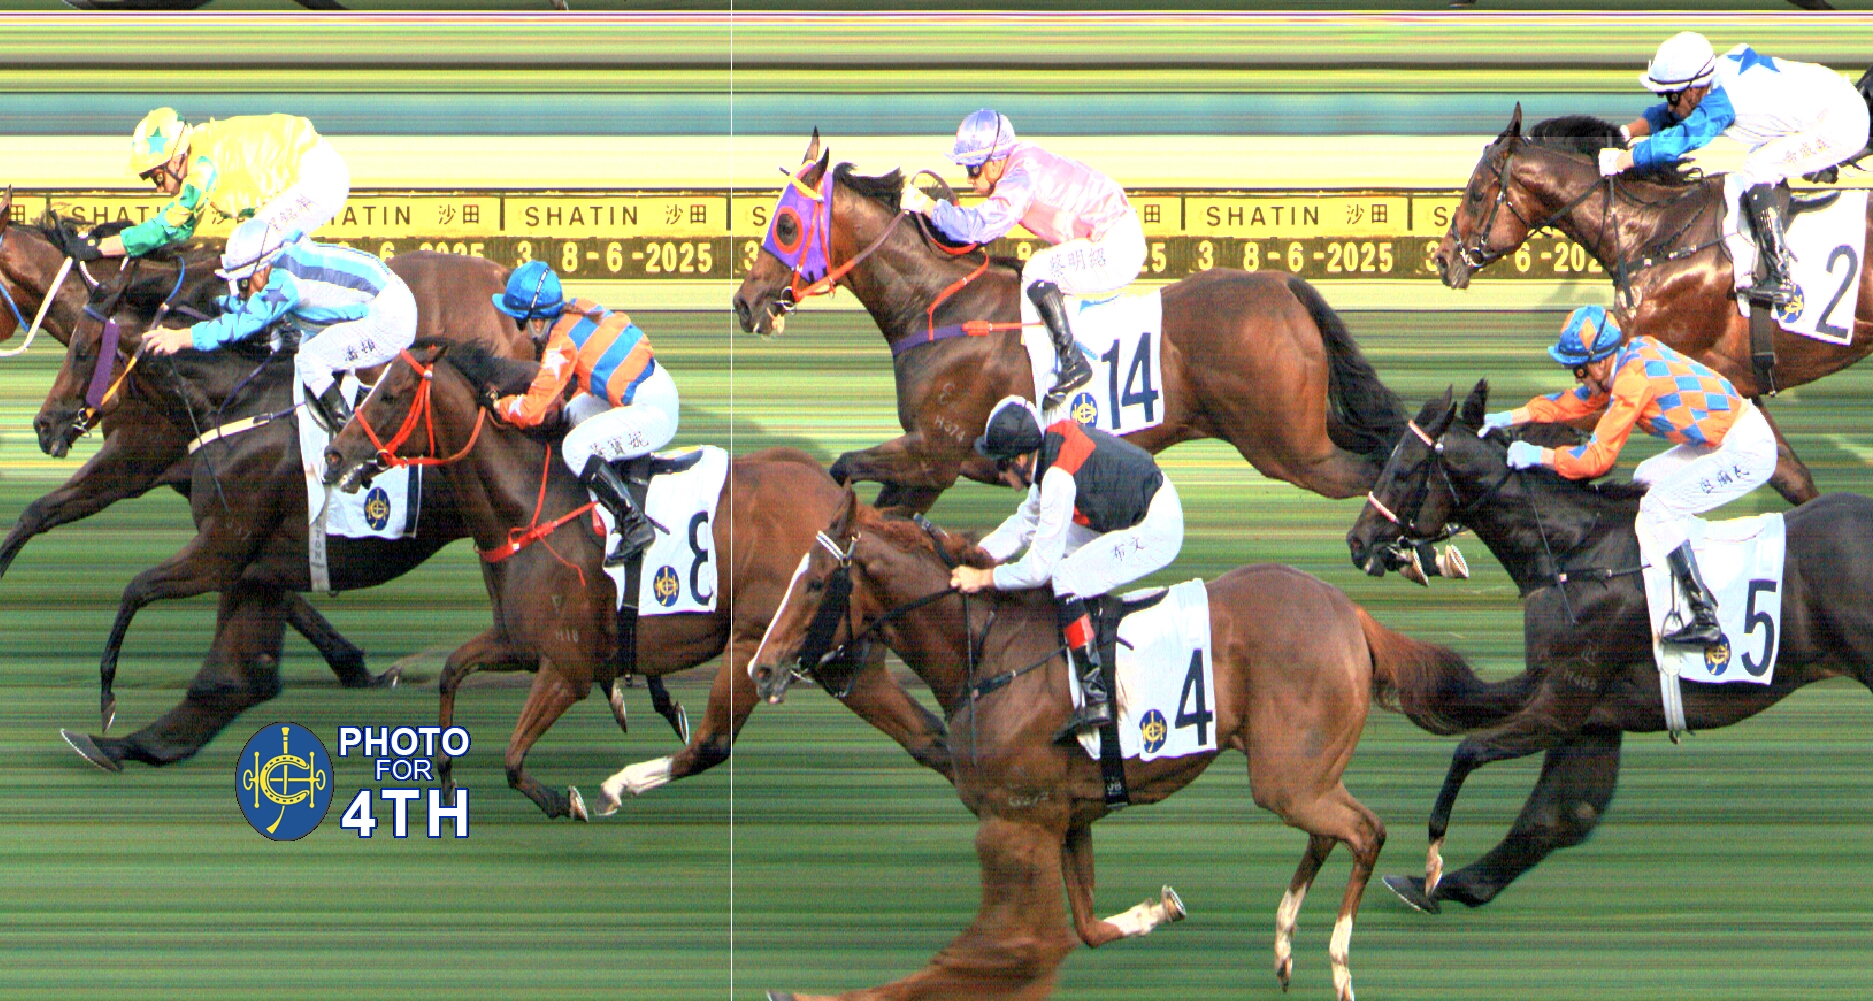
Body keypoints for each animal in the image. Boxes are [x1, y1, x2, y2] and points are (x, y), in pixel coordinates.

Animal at [36, 252, 547, 770]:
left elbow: (136, 590)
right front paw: (118, 744)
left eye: (82, 351)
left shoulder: (222, 548)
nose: (44, 424)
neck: (236, 404)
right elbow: (229, 682)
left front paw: (107, 700)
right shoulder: (258, 570)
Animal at [320, 339, 953, 817]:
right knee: (930, 738)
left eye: (390, 394)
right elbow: (452, 670)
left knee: (712, 742)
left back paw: (620, 782)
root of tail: (845, 508)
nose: (333, 455)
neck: (528, 508)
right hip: (839, 656)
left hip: (755, 644)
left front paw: (563, 801)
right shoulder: (518, 641)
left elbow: (513, 758)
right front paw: (447, 773)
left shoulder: (567, 667)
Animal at [731, 132, 1407, 514]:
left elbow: (843, 466)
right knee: (1383, 449)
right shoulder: (932, 468)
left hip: (1290, 449)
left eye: (785, 226)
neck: (939, 308)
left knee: (1374, 470)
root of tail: (1281, 284)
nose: (745, 303)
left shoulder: (934, 453)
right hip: (1312, 429)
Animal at [746, 493, 1497, 1001]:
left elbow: (995, 954)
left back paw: (1338, 960)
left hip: (1287, 779)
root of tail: (1352, 613)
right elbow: (1085, 927)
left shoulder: (1014, 824)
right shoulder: (1067, 816)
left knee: (1365, 832)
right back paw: (1285, 939)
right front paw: (1160, 908)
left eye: (815, 582)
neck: (988, 652)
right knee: (1333, 832)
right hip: (1300, 773)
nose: (760, 667)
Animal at [1345, 381, 1873, 913]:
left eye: (1402, 471)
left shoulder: (1565, 701)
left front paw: (1435, 868)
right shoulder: (1587, 708)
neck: (1575, 555)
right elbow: (1557, 811)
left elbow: (1471, 753)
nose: (1356, 540)